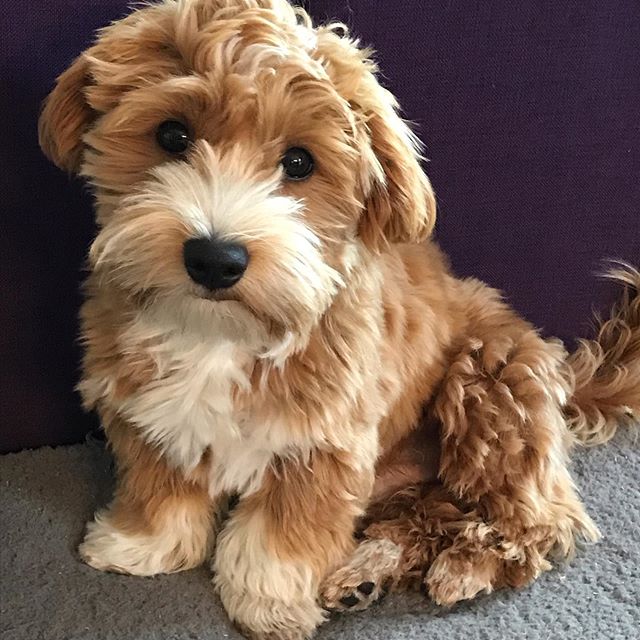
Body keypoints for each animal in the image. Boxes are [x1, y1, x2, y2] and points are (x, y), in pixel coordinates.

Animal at [40, 1, 640, 640]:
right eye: (172, 135)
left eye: (299, 162)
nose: (215, 257)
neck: (221, 334)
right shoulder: (146, 411)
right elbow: (162, 487)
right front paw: (140, 545)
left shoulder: (323, 441)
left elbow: (279, 534)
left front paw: (269, 602)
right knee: (421, 516)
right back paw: (366, 571)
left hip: (494, 390)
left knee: (539, 520)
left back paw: (466, 565)